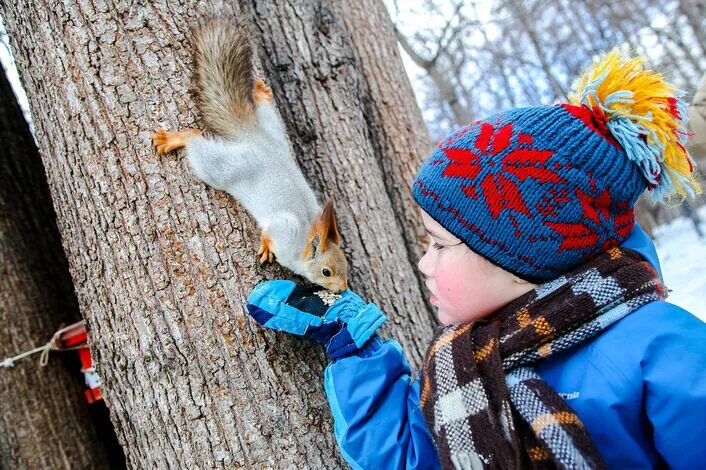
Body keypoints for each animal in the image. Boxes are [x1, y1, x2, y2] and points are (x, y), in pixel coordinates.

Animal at [150, 20, 348, 292]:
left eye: (346, 265)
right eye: (326, 271)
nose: (343, 289)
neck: (305, 239)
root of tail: (254, 137)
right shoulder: (285, 232)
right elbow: (270, 231)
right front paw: (265, 245)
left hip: (274, 131)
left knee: (267, 114)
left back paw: (263, 93)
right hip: (225, 168)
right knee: (197, 144)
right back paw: (177, 139)